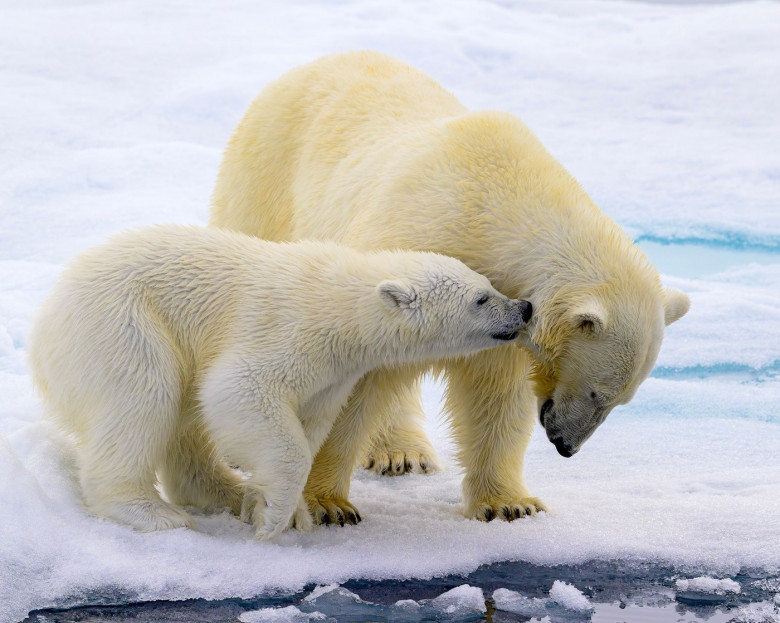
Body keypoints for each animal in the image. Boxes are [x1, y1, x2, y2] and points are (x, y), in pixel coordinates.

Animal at [212, 51, 688, 524]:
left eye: (620, 402)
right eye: (597, 393)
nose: (566, 446)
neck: (494, 204)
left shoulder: (506, 318)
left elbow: (493, 398)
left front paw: (511, 504)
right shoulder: (412, 246)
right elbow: (354, 385)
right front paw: (325, 504)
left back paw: (402, 453)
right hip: (266, 185)